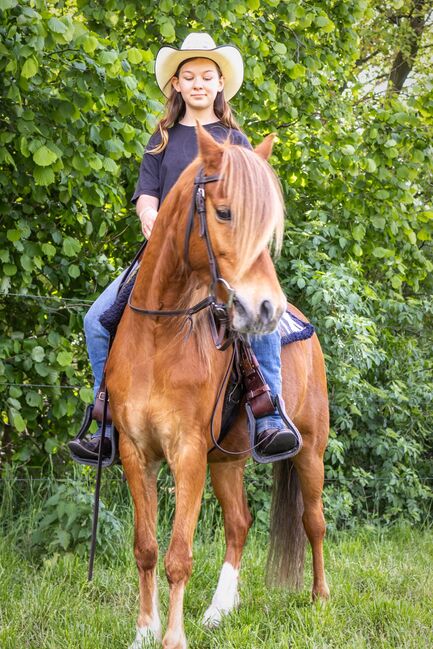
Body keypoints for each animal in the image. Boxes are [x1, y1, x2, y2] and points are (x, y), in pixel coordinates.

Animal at [106, 125, 330, 648]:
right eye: (225, 212)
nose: (266, 307)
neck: (159, 336)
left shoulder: (187, 454)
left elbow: (178, 556)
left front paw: (173, 638)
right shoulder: (135, 451)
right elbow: (146, 548)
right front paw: (145, 631)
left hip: (310, 449)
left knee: (314, 522)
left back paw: (319, 599)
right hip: (227, 462)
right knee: (239, 523)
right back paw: (219, 610)